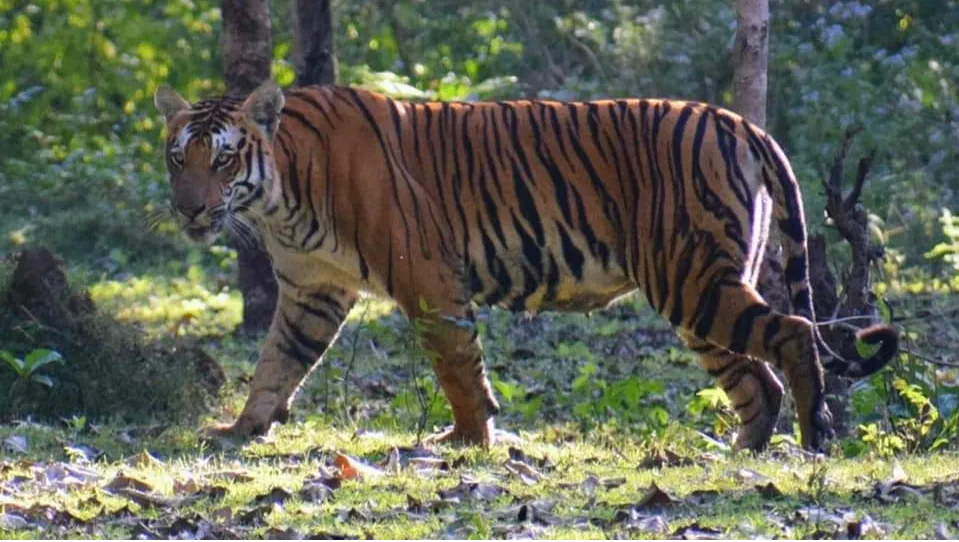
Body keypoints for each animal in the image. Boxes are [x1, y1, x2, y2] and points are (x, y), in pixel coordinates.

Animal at [153, 80, 897, 452]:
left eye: (223, 160)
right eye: (177, 157)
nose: (190, 210)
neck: (280, 193)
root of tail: (739, 121)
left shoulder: (426, 279)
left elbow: (457, 365)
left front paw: (467, 438)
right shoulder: (312, 288)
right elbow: (277, 362)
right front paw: (240, 430)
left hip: (692, 278)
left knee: (793, 335)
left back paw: (813, 439)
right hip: (697, 289)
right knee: (756, 377)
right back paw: (740, 453)